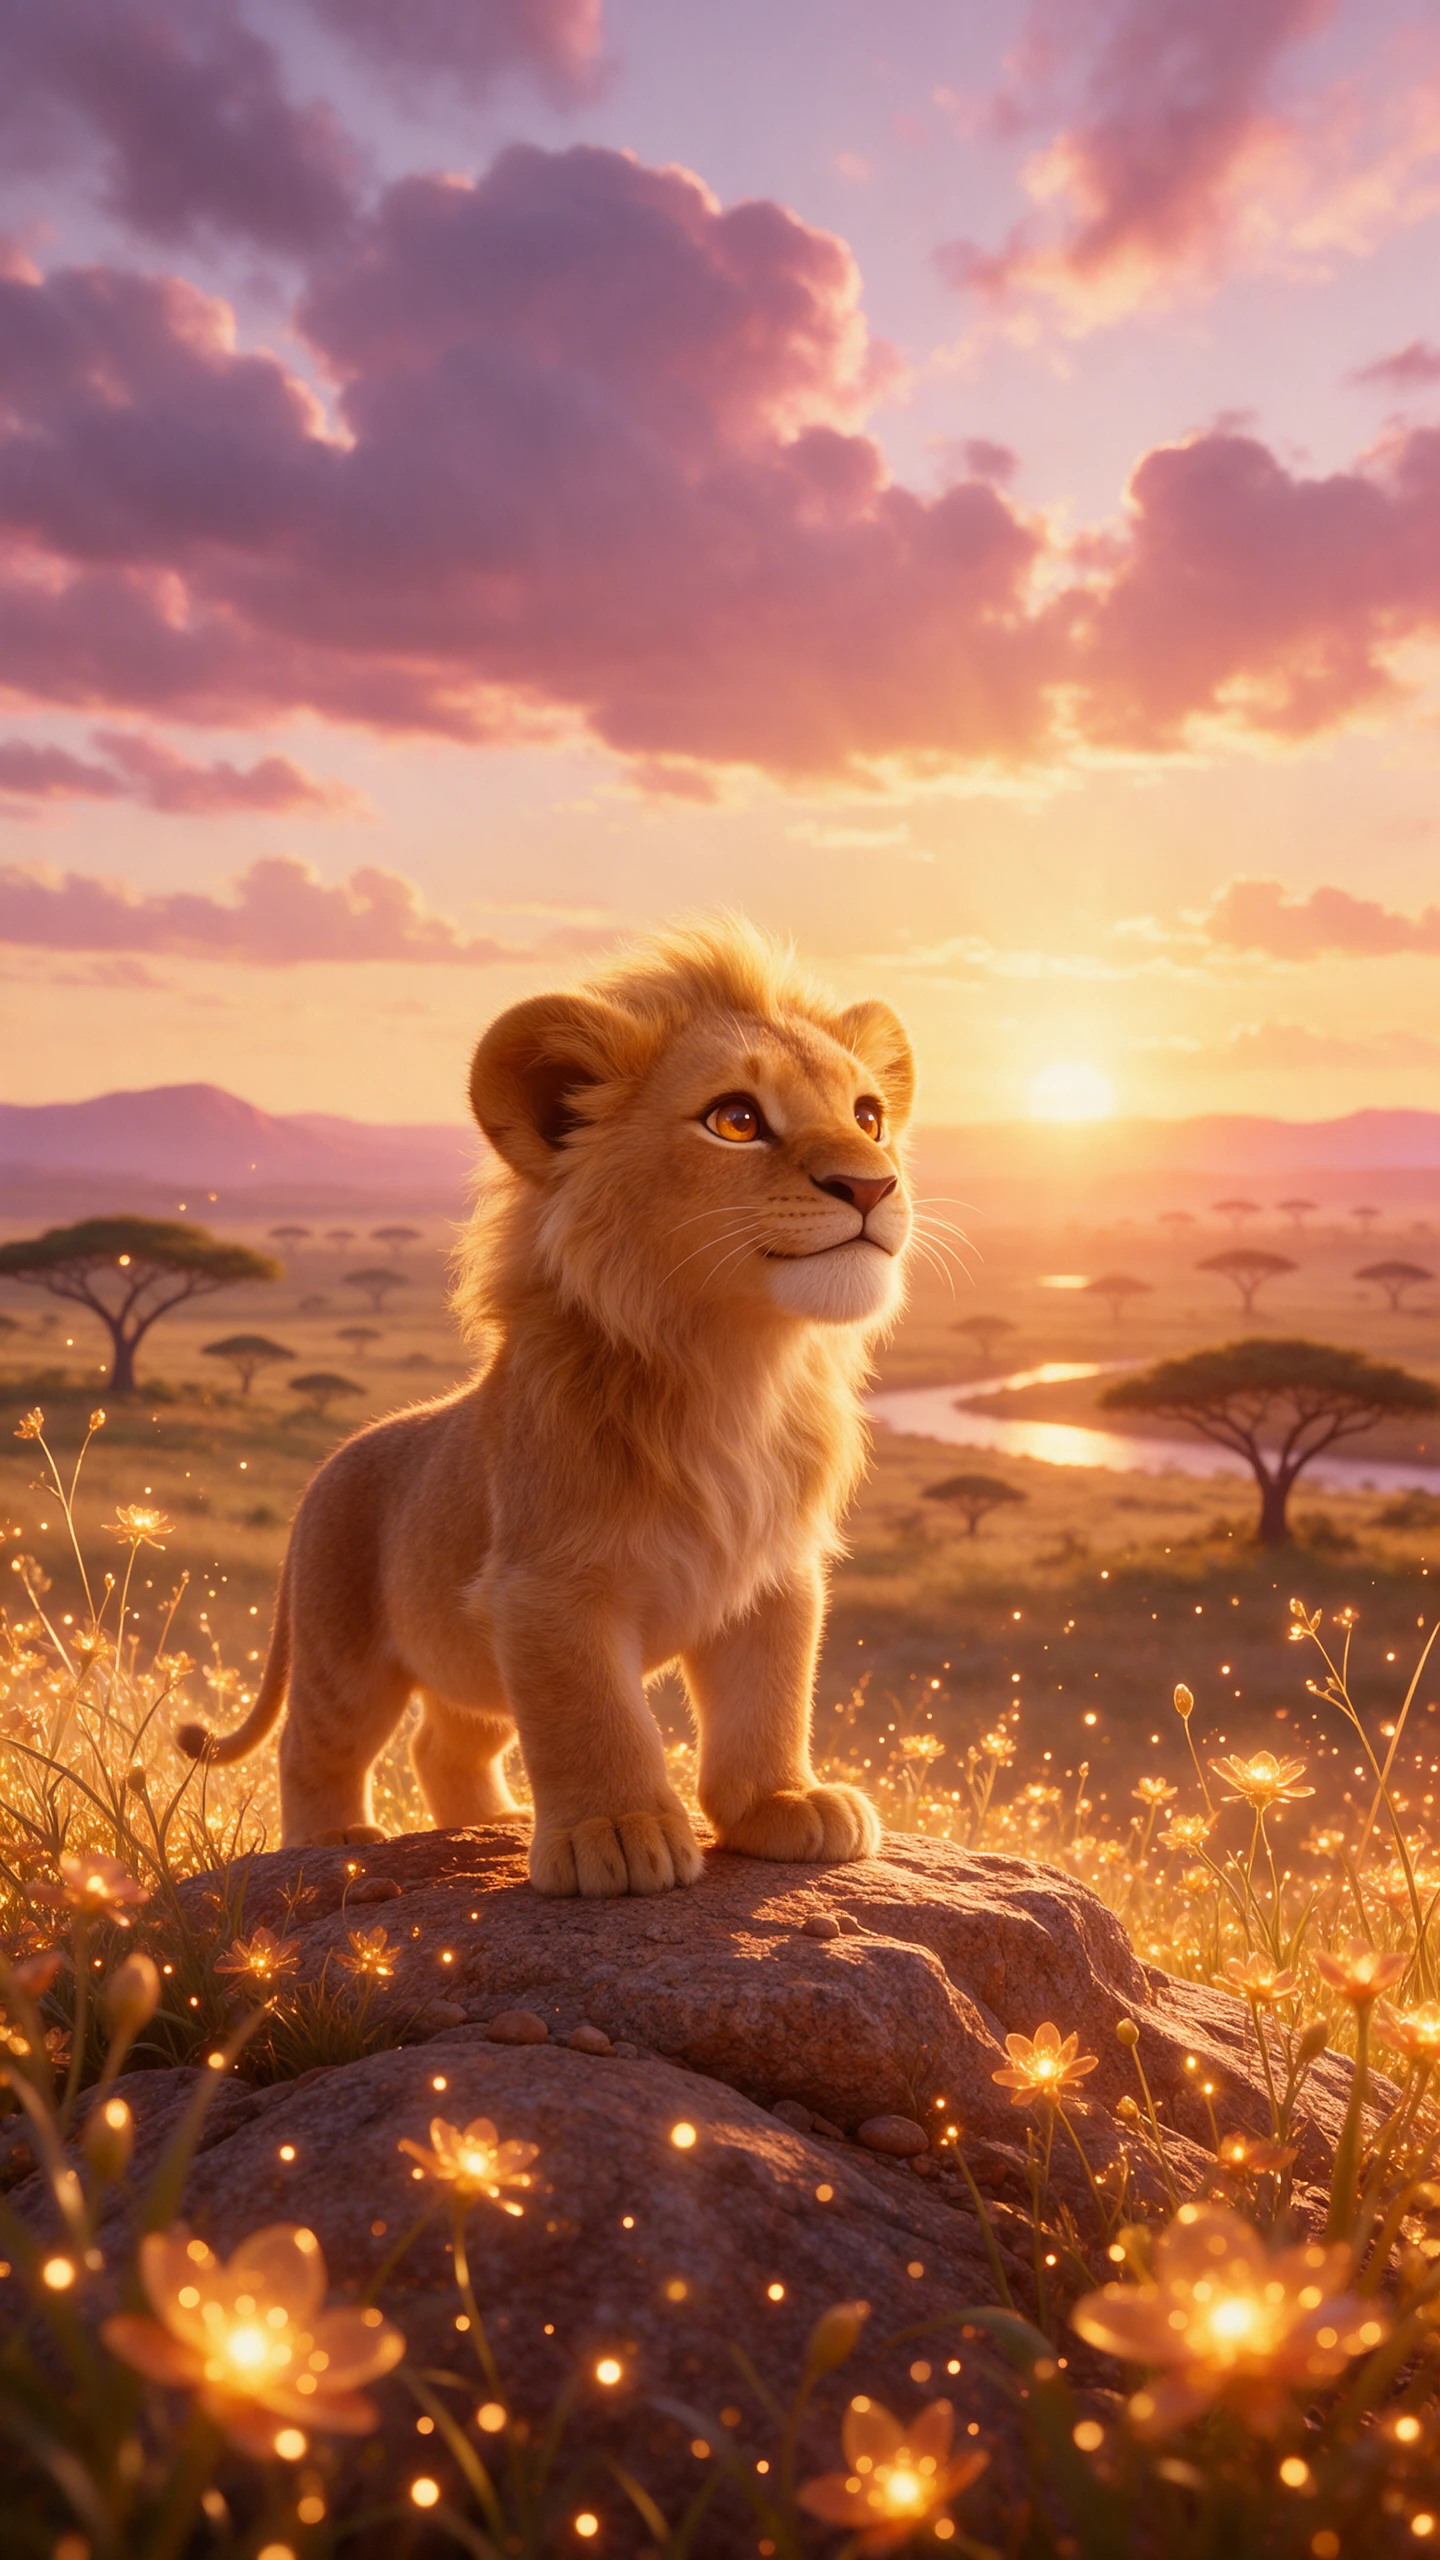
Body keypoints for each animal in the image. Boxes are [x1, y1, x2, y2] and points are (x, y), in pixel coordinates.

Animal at [176, 917, 915, 1896]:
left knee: (443, 1744)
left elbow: (769, 1697)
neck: (736, 1373)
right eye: (736, 1120)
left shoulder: (772, 1575)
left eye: (868, 1116)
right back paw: (334, 1844)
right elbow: (593, 1717)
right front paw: (619, 1832)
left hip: (466, 1658)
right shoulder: (544, 1589)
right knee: (316, 1744)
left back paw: (492, 1824)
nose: (873, 1186)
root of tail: (326, 1468)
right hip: (345, 1649)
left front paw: (784, 1805)